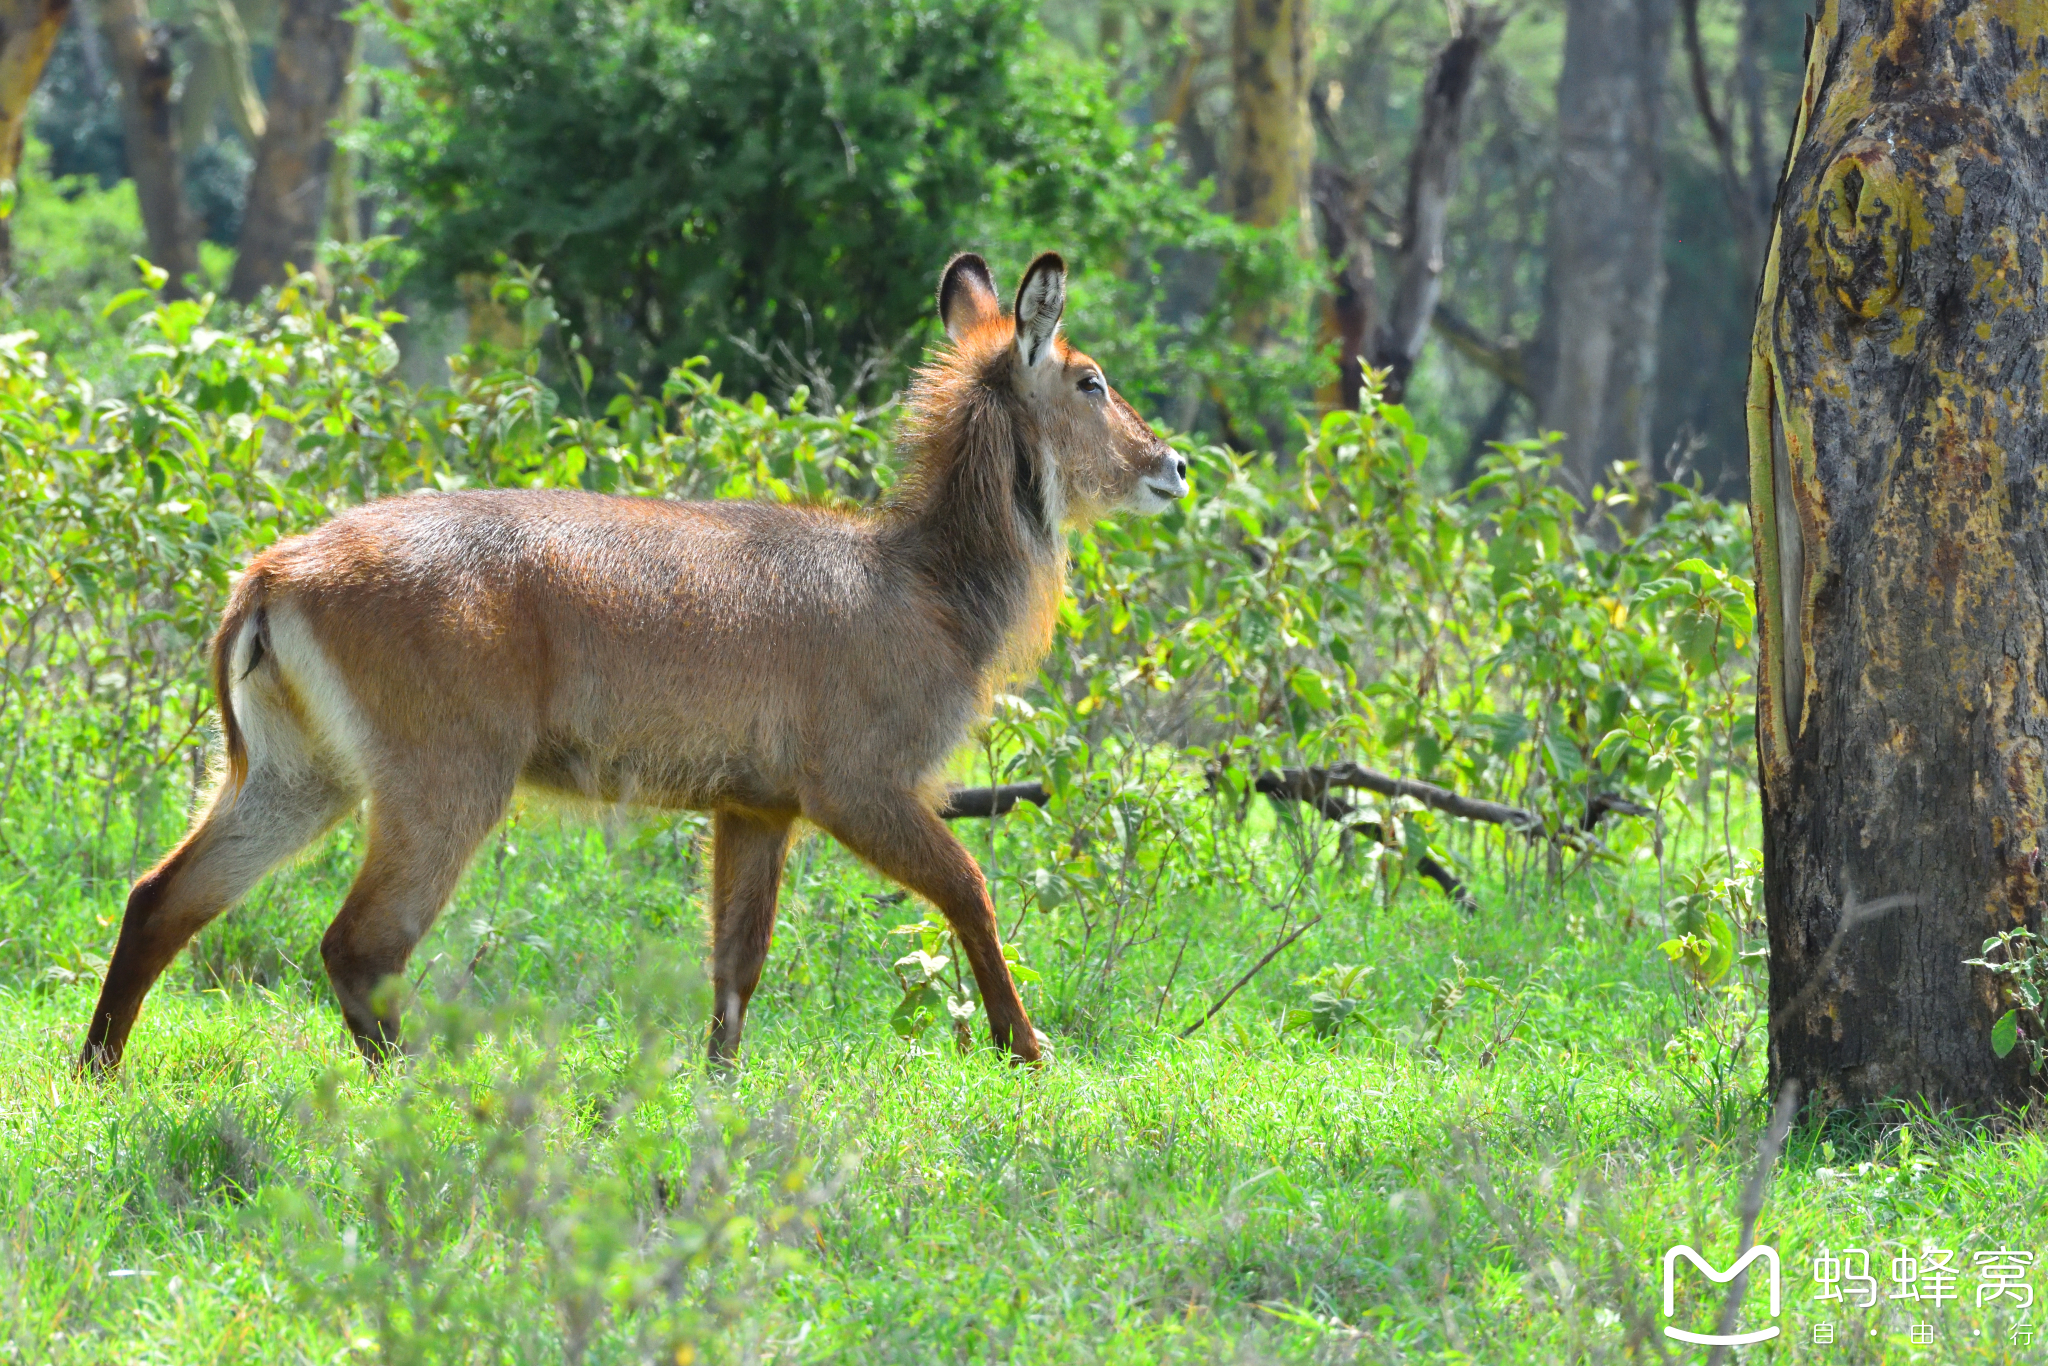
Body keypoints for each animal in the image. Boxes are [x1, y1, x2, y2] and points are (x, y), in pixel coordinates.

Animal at [79, 250, 1196, 1073]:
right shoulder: (859, 784)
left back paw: (99, 1074)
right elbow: (969, 886)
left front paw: (717, 1090)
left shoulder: (756, 805)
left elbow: (736, 965)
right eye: (1091, 378)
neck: (923, 582)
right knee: (358, 947)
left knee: (160, 897)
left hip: (295, 772)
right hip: (444, 779)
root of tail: (271, 572)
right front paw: (1027, 1047)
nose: (1175, 465)